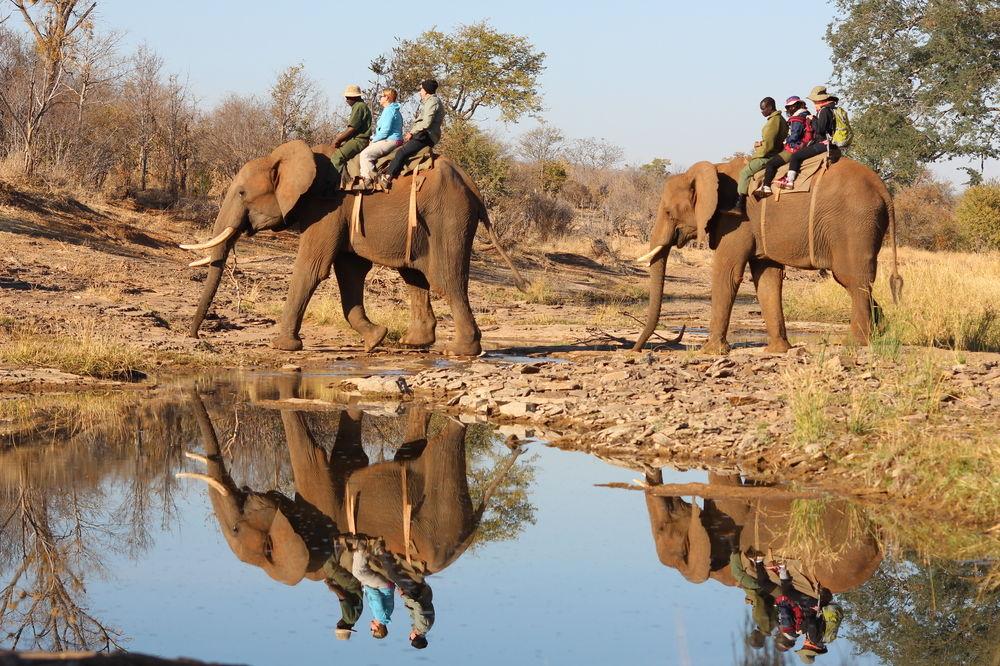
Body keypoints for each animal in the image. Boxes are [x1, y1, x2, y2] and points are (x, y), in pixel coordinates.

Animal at [181, 139, 528, 356]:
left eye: (241, 193)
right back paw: (412, 344)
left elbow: (312, 268)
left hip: (448, 218)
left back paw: (458, 351)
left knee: (446, 280)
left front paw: (281, 346)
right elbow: (350, 272)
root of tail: (472, 186)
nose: (195, 337)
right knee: (415, 276)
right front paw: (376, 339)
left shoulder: (328, 207)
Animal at [632, 156, 908, 352]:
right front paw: (777, 350)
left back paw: (856, 342)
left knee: (852, 279)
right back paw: (881, 330)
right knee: (854, 280)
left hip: (854, 224)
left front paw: (709, 352)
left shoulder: (736, 221)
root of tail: (883, 189)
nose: (636, 351)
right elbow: (767, 278)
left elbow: (728, 273)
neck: (712, 169)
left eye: (669, 213)